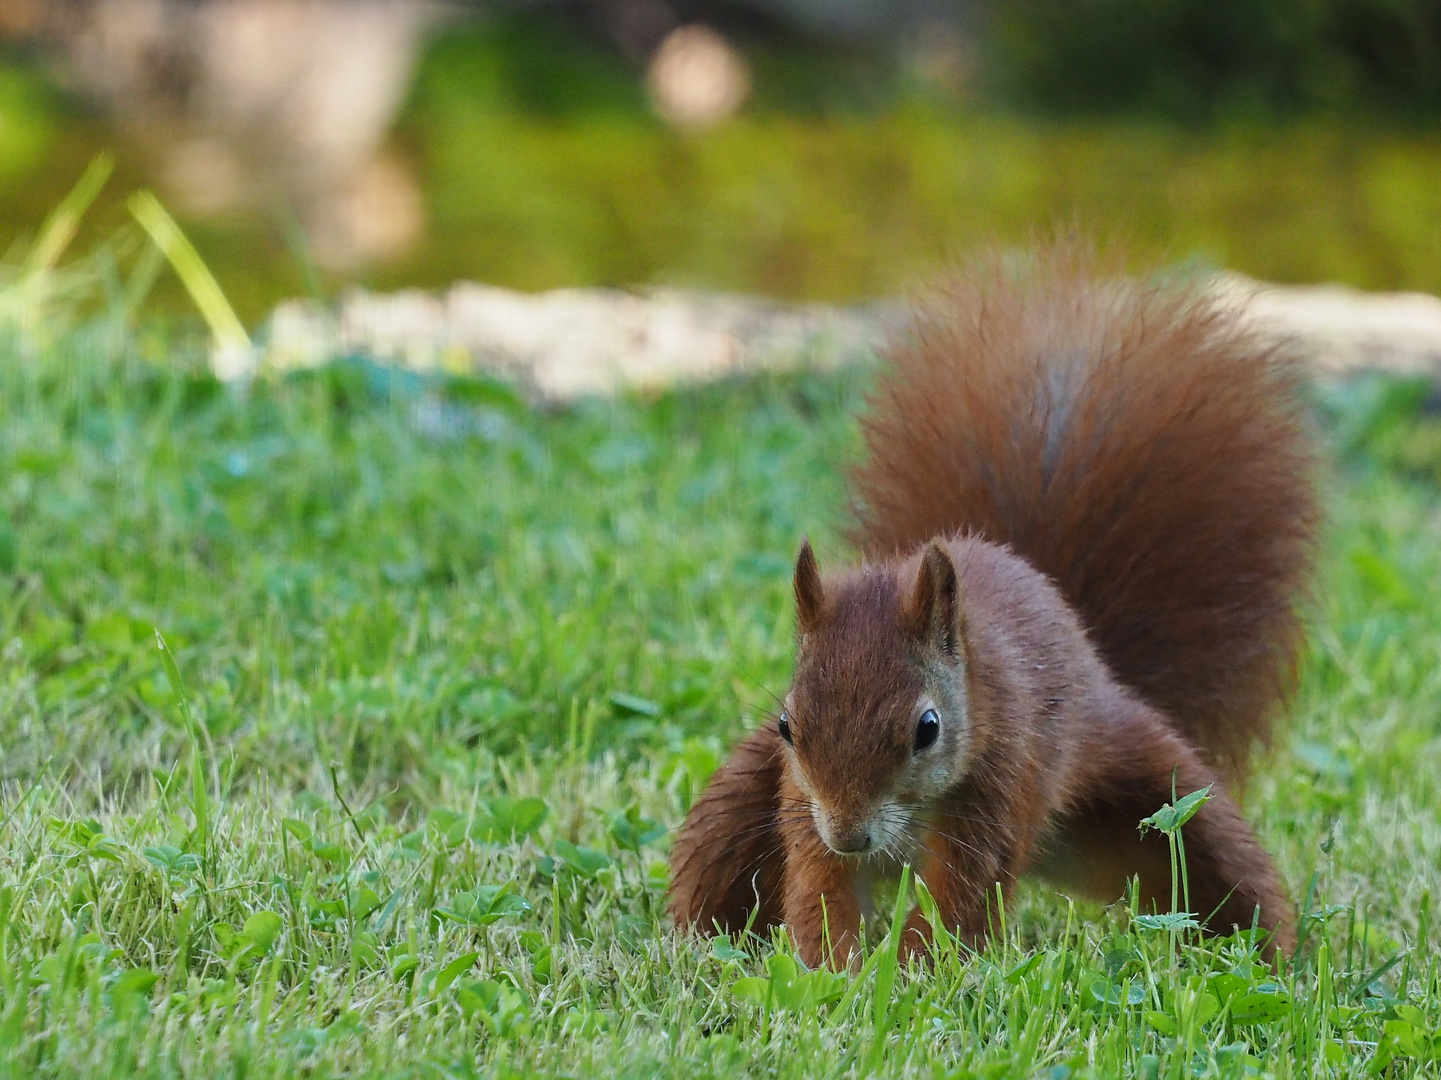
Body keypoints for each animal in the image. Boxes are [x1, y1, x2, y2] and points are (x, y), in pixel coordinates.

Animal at [662, 248, 1319, 963]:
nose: (851, 834)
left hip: (1162, 792)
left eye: (927, 728)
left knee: (1229, 875)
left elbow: (955, 901)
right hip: (740, 800)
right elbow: (818, 886)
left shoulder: (1000, 783)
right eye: (788, 724)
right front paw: (832, 968)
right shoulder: (798, 797)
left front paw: (909, 972)